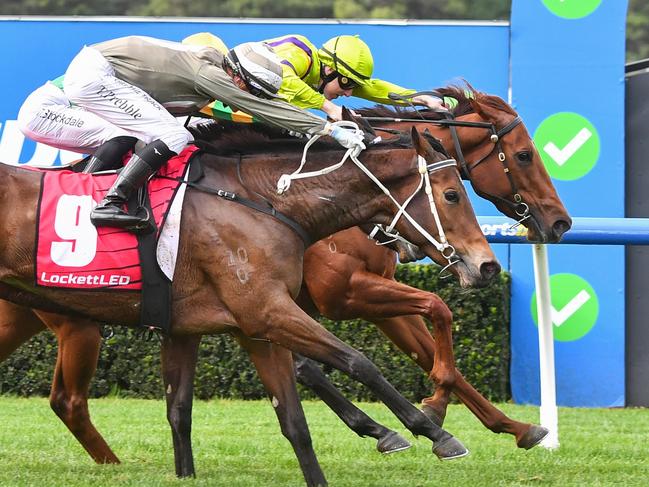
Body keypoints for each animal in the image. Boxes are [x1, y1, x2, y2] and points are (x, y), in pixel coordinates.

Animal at [0, 127, 498, 486]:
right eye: (452, 195)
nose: (488, 266)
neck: (265, 202)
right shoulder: (270, 311)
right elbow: (360, 362)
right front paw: (434, 429)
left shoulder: (236, 328)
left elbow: (275, 420)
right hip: (72, 325)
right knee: (69, 400)